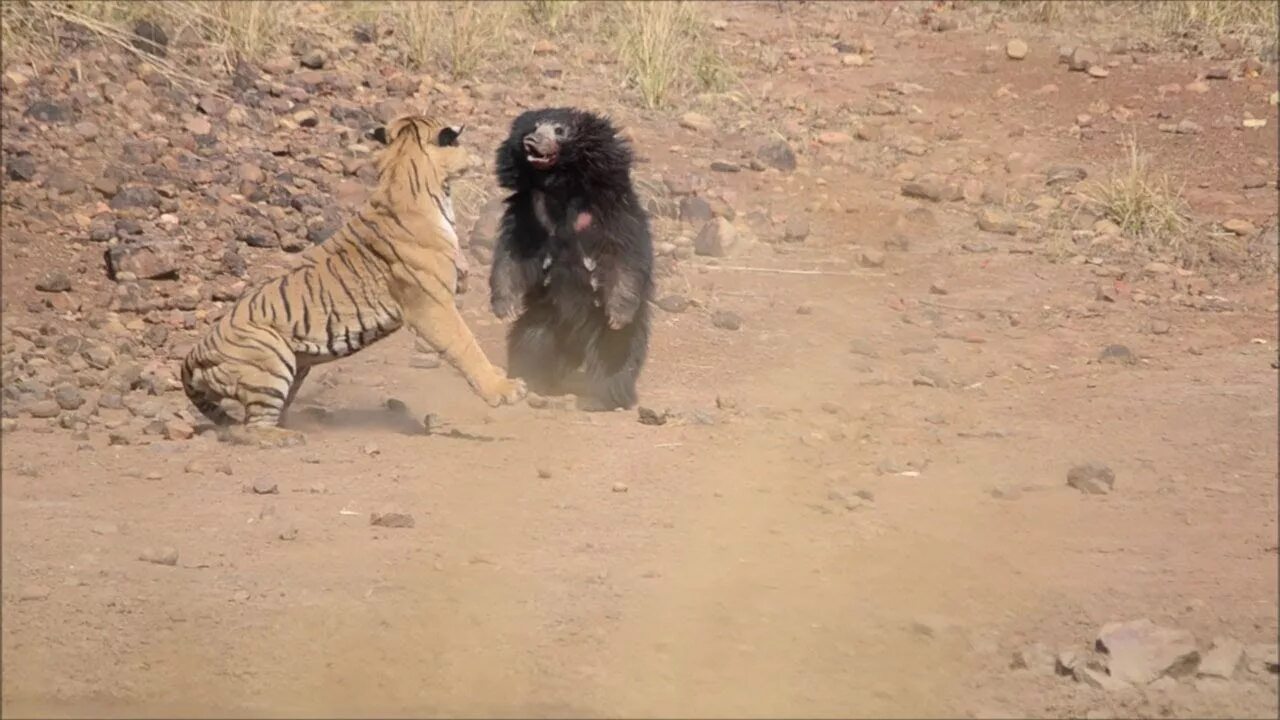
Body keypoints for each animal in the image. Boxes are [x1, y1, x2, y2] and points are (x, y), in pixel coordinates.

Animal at [180, 113, 524, 443]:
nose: (480, 157)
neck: (403, 169)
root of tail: (194, 353)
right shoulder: (432, 306)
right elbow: (466, 345)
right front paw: (502, 388)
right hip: (270, 358)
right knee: (245, 429)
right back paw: (288, 438)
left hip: (294, 367)